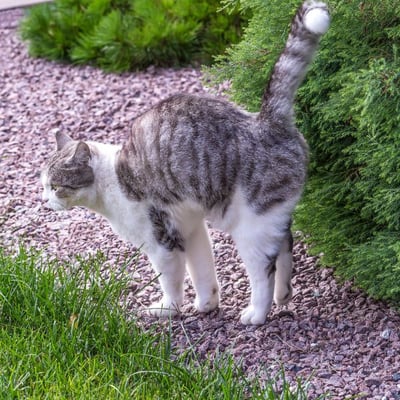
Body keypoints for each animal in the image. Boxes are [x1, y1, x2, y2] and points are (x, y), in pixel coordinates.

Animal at [40, 0, 330, 324]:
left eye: (56, 186)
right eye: (44, 185)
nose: (44, 200)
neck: (111, 178)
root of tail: (266, 122)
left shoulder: (161, 241)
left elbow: (170, 279)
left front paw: (168, 309)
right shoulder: (190, 229)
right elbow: (202, 271)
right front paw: (207, 304)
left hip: (251, 227)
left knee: (263, 271)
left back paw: (257, 313)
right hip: (272, 217)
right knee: (285, 245)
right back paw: (284, 295)